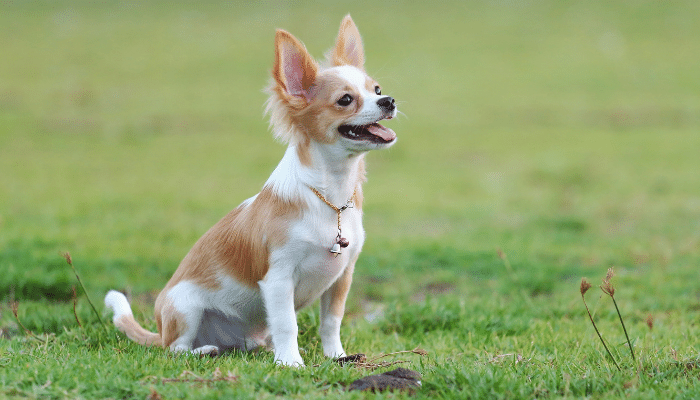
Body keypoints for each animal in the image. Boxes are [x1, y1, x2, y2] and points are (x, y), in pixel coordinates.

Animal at [105, 14, 400, 366]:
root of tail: (160, 330)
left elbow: (331, 321)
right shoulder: (278, 279)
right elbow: (288, 323)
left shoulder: (342, 276)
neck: (330, 196)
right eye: (345, 100)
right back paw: (204, 350)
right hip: (184, 307)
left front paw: (336, 356)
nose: (389, 101)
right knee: (175, 349)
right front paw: (291, 363)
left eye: (377, 89)